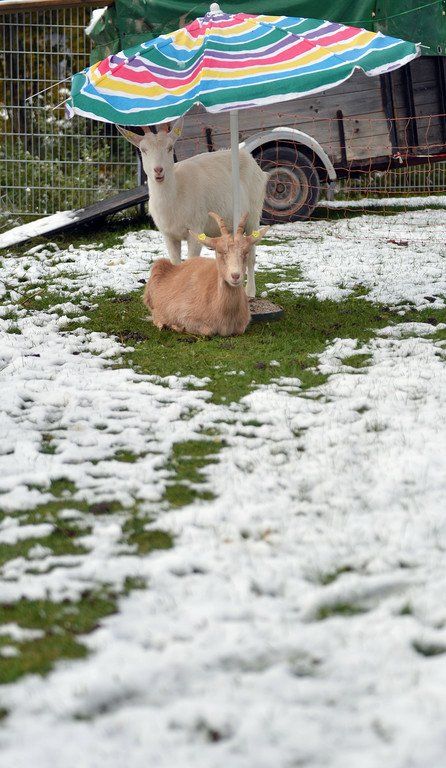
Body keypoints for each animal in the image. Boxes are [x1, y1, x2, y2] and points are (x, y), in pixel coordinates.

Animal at [117, 119, 268, 297]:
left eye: (170, 147)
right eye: (143, 149)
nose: (158, 170)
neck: (176, 195)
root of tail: (249, 158)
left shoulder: (195, 230)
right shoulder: (168, 235)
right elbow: (175, 264)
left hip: (253, 213)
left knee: (251, 254)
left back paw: (250, 292)